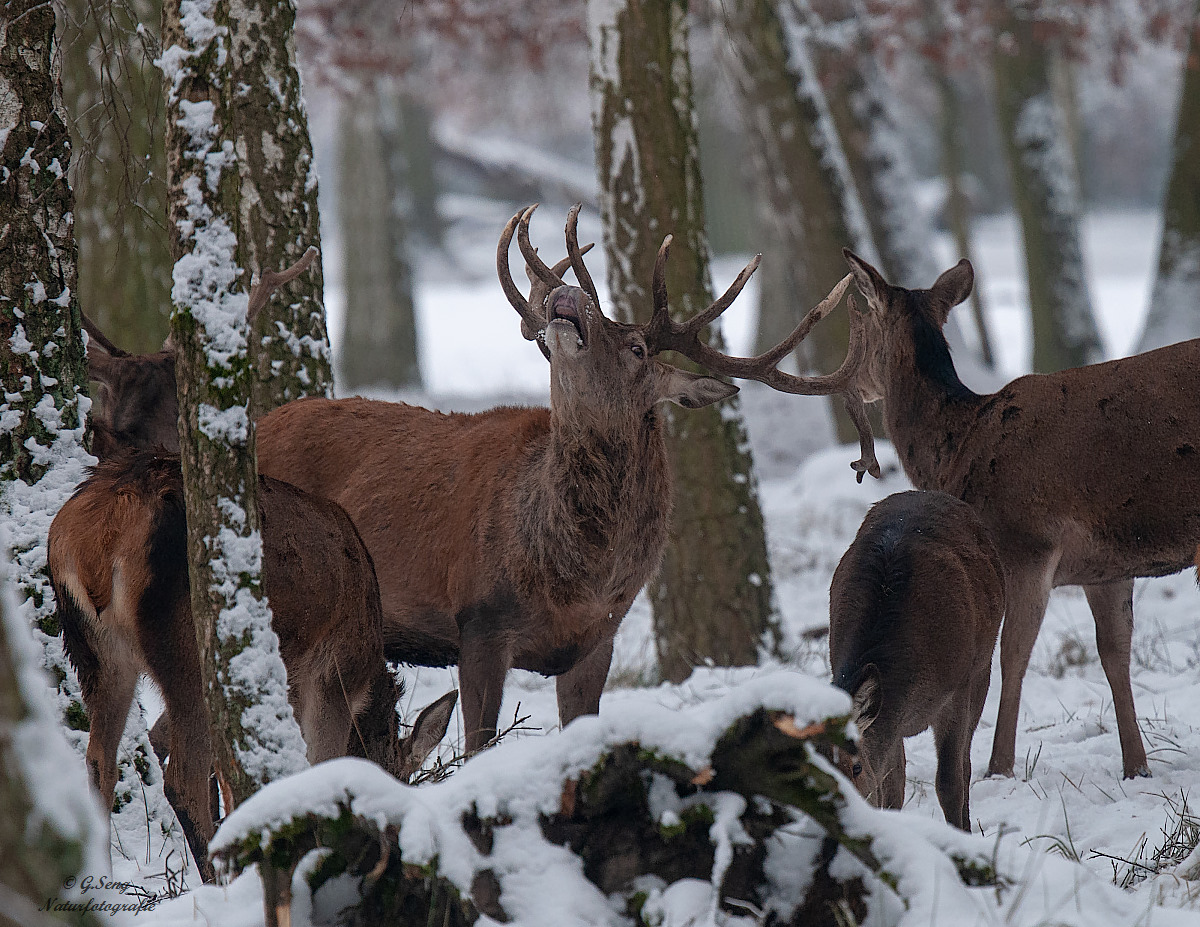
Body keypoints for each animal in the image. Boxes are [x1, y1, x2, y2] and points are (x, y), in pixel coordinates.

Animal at [50, 444, 458, 878]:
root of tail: (97, 535)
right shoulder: (333, 675)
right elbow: (318, 768)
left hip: (96, 654)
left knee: (99, 763)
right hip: (191, 650)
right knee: (181, 780)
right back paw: (217, 881)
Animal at [253, 204, 873, 754]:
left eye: (637, 346)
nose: (570, 295)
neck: (574, 578)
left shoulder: (598, 640)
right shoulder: (479, 620)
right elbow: (479, 746)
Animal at [825, 489, 1003, 830]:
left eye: (856, 767)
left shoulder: (957, 690)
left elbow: (949, 782)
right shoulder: (890, 721)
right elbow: (891, 791)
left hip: (982, 668)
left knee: (966, 765)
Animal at [840, 249, 1200, 778]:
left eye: (862, 325)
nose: (857, 384)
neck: (958, 449)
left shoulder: (1025, 540)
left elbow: (1013, 654)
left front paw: (999, 767)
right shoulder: (1108, 564)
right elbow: (1115, 654)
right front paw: (1137, 767)